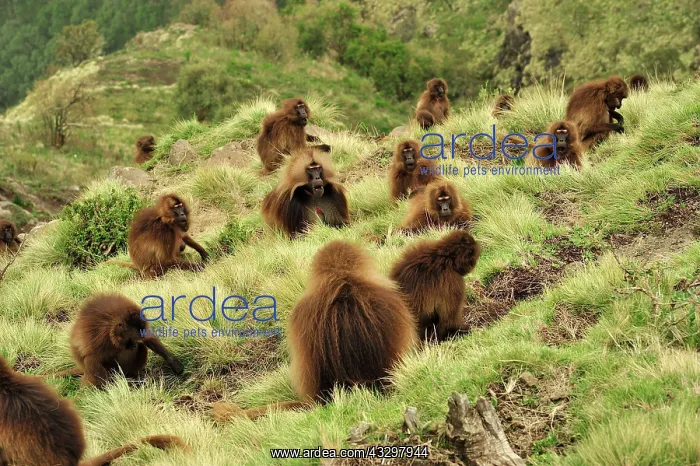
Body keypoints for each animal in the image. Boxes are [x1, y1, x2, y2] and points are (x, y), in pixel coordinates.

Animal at [56, 294, 184, 389]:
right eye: (129, 339)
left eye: (133, 338)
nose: (133, 345)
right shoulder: (101, 336)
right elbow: (90, 357)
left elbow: (148, 339)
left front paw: (174, 363)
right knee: (90, 361)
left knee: (142, 347)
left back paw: (133, 376)